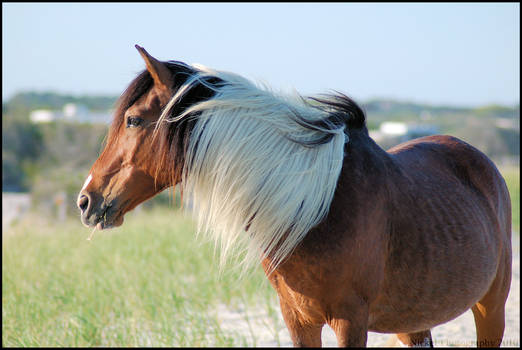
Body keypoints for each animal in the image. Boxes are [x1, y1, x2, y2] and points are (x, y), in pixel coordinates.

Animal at [76, 45, 508, 348]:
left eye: (133, 120)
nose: (86, 200)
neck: (317, 208)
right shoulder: (298, 319)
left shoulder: (351, 321)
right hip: (414, 320)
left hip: (491, 306)